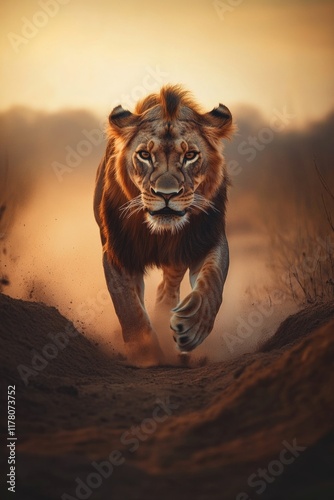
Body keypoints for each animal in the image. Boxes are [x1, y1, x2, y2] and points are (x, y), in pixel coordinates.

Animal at [94, 85, 232, 368]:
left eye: (190, 155)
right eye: (145, 155)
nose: (166, 194)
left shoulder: (207, 239)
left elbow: (213, 282)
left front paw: (192, 327)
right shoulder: (118, 252)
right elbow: (127, 304)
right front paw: (145, 352)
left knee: (168, 285)